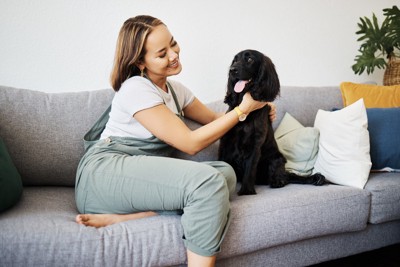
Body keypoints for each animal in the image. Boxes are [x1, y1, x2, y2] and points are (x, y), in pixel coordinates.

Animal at [219, 50, 324, 196]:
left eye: (250, 59)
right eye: (235, 60)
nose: (232, 70)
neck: (246, 114)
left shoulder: (255, 145)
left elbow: (250, 169)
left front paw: (246, 191)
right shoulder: (225, 142)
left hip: (277, 158)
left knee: (283, 176)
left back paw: (278, 181)